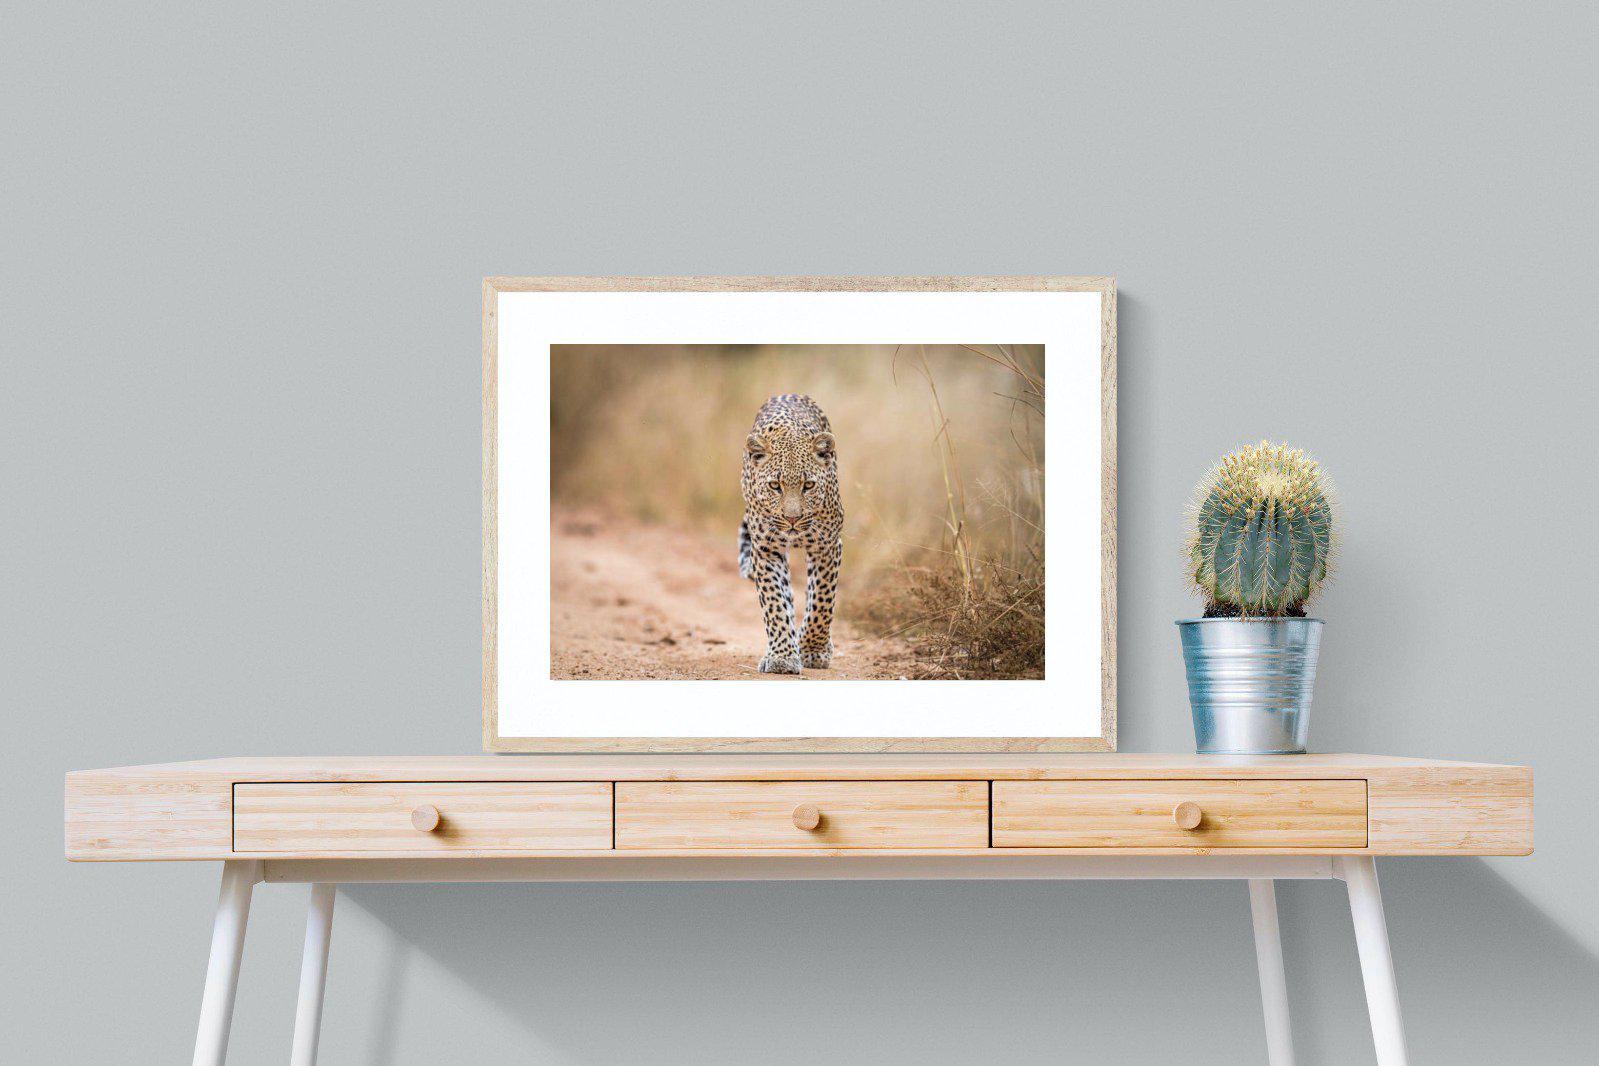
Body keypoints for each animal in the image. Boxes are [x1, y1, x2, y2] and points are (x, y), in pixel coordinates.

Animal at [738, 394, 844, 674]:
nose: (792, 519)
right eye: (776, 486)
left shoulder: (827, 545)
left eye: (809, 485)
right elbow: (775, 603)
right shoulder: (766, 550)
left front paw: (813, 650)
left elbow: (822, 602)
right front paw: (782, 657)